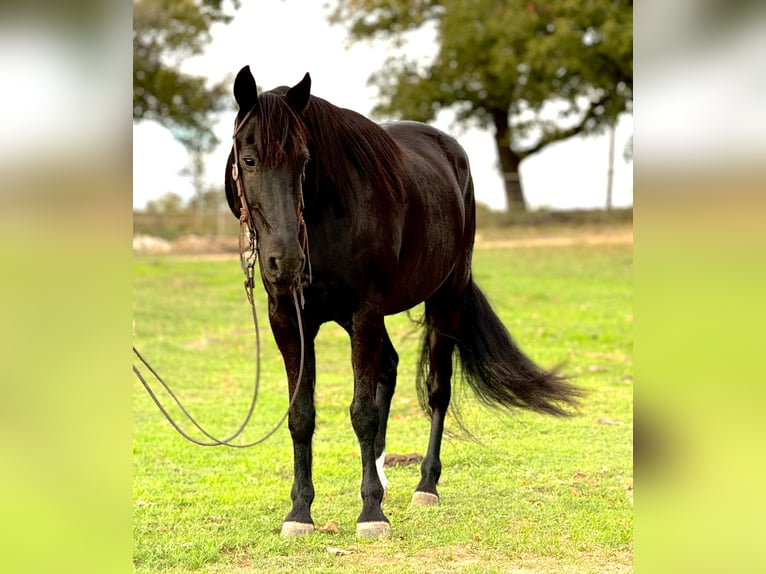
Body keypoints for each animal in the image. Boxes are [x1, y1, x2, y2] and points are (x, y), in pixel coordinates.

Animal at [225, 67, 580, 540]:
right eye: (249, 161)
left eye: (303, 161)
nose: (287, 261)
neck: (325, 219)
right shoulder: (289, 318)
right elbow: (301, 414)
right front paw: (300, 512)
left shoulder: (364, 312)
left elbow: (362, 412)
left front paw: (371, 512)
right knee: (389, 369)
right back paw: (380, 476)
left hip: (445, 300)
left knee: (437, 390)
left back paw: (425, 485)